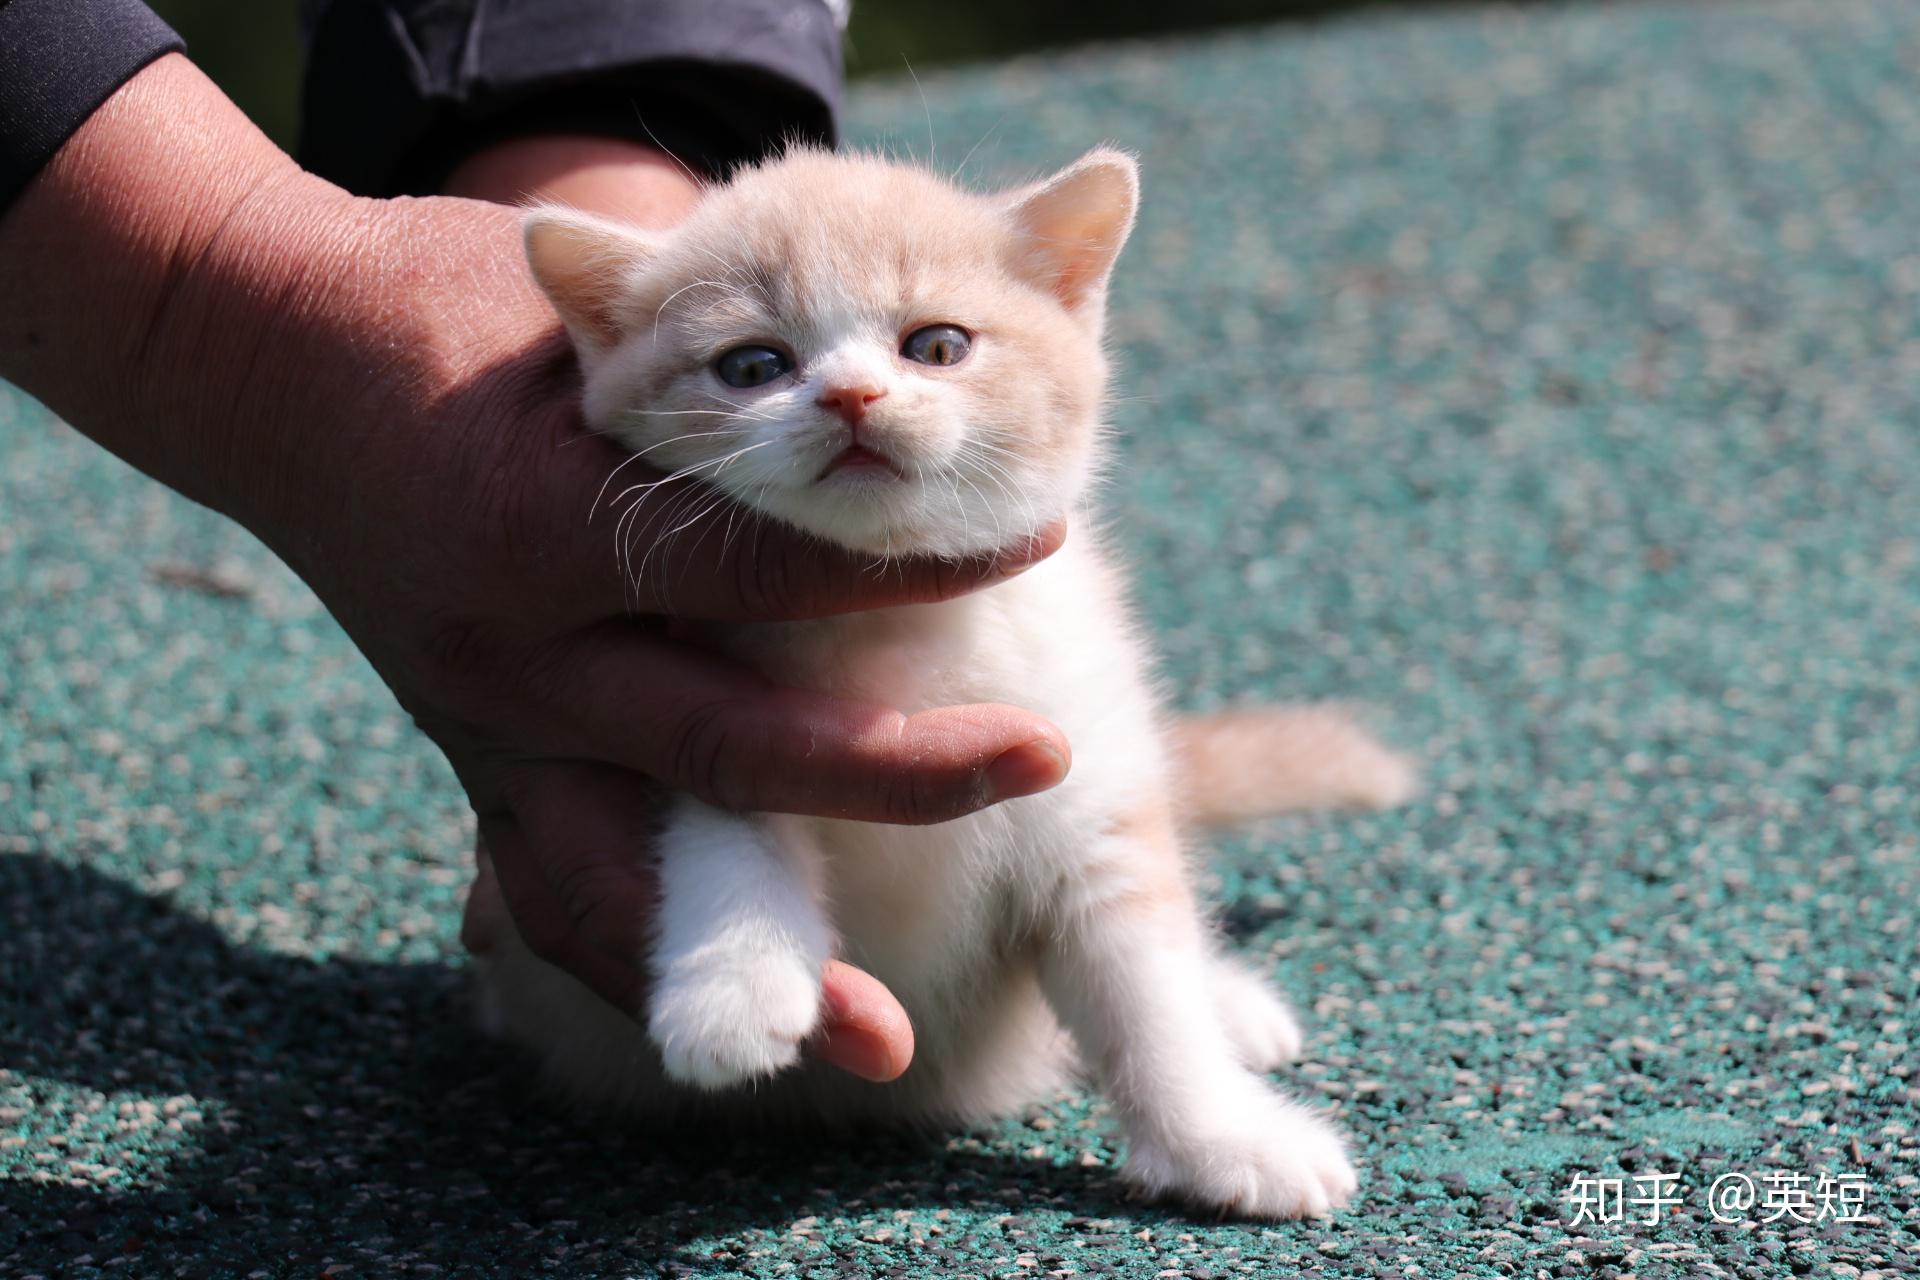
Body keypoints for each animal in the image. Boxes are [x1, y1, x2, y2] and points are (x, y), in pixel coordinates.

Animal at [468, 150, 1413, 1220]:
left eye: (937, 346)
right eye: (751, 366)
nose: (850, 395)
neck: (897, 629)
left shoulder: (1086, 775)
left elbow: (1145, 991)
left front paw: (1223, 1139)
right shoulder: (671, 701)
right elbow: (725, 817)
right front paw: (733, 986)